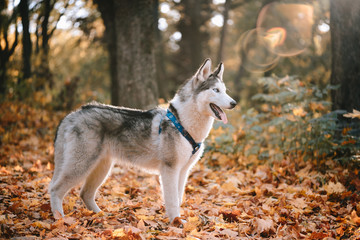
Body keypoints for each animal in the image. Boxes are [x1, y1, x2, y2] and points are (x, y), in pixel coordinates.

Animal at [49, 57, 238, 221]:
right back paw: (60, 219)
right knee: (55, 189)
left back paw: (101, 215)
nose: (234, 103)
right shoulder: (169, 170)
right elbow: (172, 202)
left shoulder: (183, 171)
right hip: (81, 166)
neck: (184, 122)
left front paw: (178, 222)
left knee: (85, 193)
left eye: (225, 91)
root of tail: (72, 114)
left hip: (101, 168)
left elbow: (178, 199)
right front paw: (177, 223)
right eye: (215, 90)